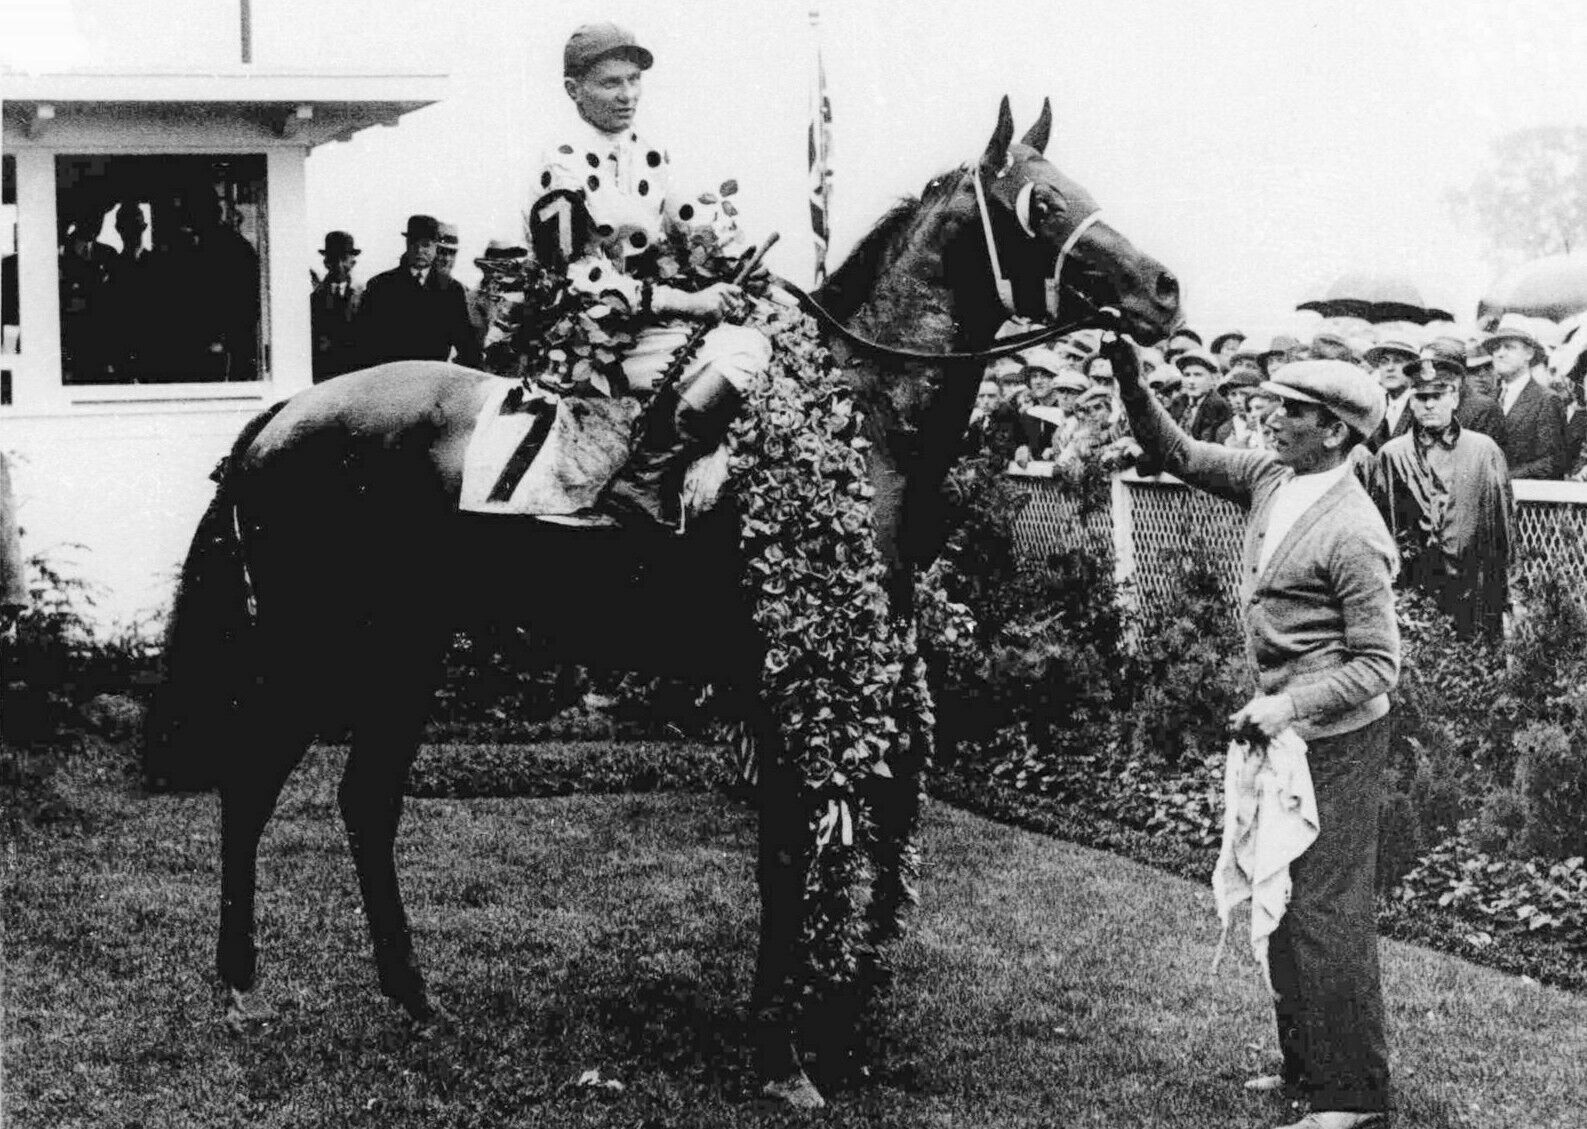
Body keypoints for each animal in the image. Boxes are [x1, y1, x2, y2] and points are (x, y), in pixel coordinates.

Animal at [142, 99, 1180, 1111]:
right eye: (1041, 204)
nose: (1164, 288)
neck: (854, 413)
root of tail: (283, 413)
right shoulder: (782, 669)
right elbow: (788, 846)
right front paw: (784, 1049)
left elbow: (844, 828)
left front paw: (824, 1024)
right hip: (312, 644)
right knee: (253, 781)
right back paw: (239, 984)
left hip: (408, 644)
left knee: (365, 798)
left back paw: (411, 993)